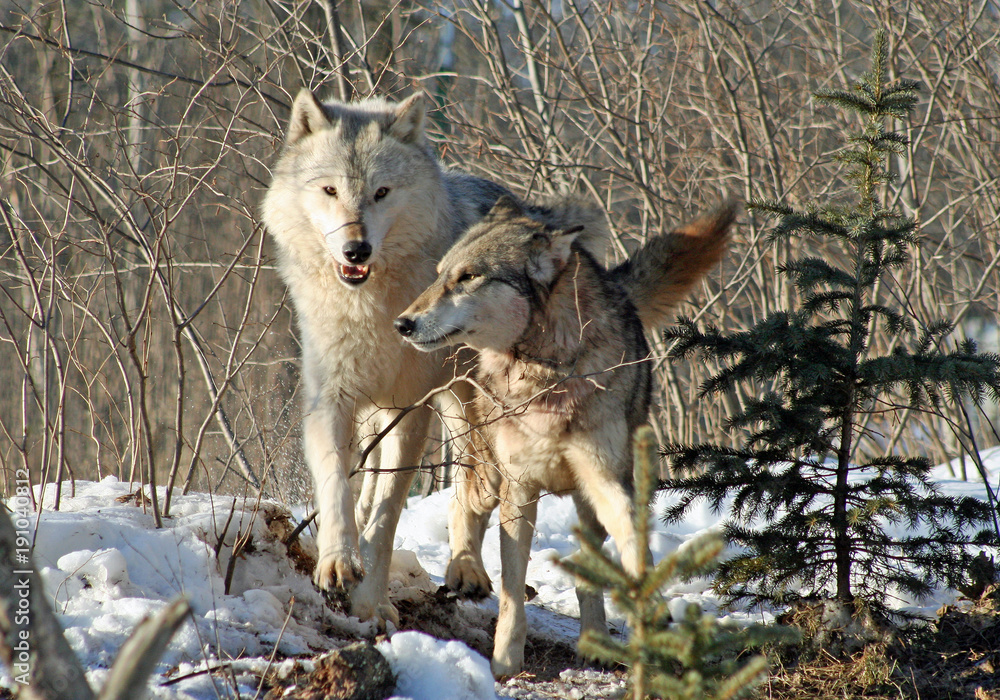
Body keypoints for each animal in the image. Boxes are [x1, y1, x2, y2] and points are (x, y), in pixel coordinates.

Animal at [262, 89, 507, 625]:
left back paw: (466, 571)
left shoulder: (410, 409)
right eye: (330, 190)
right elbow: (336, 484)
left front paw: (370, 602)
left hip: (464, 404)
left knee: (473, 487)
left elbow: (389, 513)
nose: (357, 249)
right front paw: (336, 563)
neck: (368, 309)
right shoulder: (330, 401)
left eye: (381, 193)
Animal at [395, 195, 735, 676]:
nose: (402, 323)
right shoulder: (519, 488)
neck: (549, 374)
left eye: (469, 276)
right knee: (462, 503)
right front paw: (505, 660)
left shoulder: (607, 481)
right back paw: (467, 575)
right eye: (441, 274)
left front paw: (646, 609)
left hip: (583, 499)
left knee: (586, 567)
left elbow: (630, 545)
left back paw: (594, 640)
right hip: (490, 476)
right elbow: (513, 590)